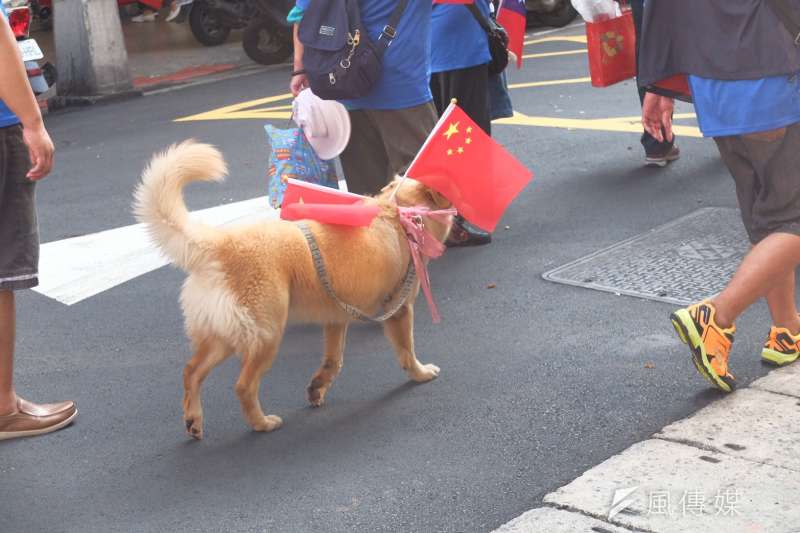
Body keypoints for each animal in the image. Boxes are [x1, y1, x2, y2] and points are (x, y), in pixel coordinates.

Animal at [134, 140, 454, 436]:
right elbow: (406, 351)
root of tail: (222, 244)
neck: (398, 213)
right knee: (243, 386)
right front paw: (421, 374)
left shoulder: (336, 318)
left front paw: (317, 388)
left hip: (223, 334)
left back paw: (193, 421)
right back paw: (262, 423)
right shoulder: (399, 310)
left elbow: (333, 362)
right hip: (266, 335)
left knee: (191, 372)